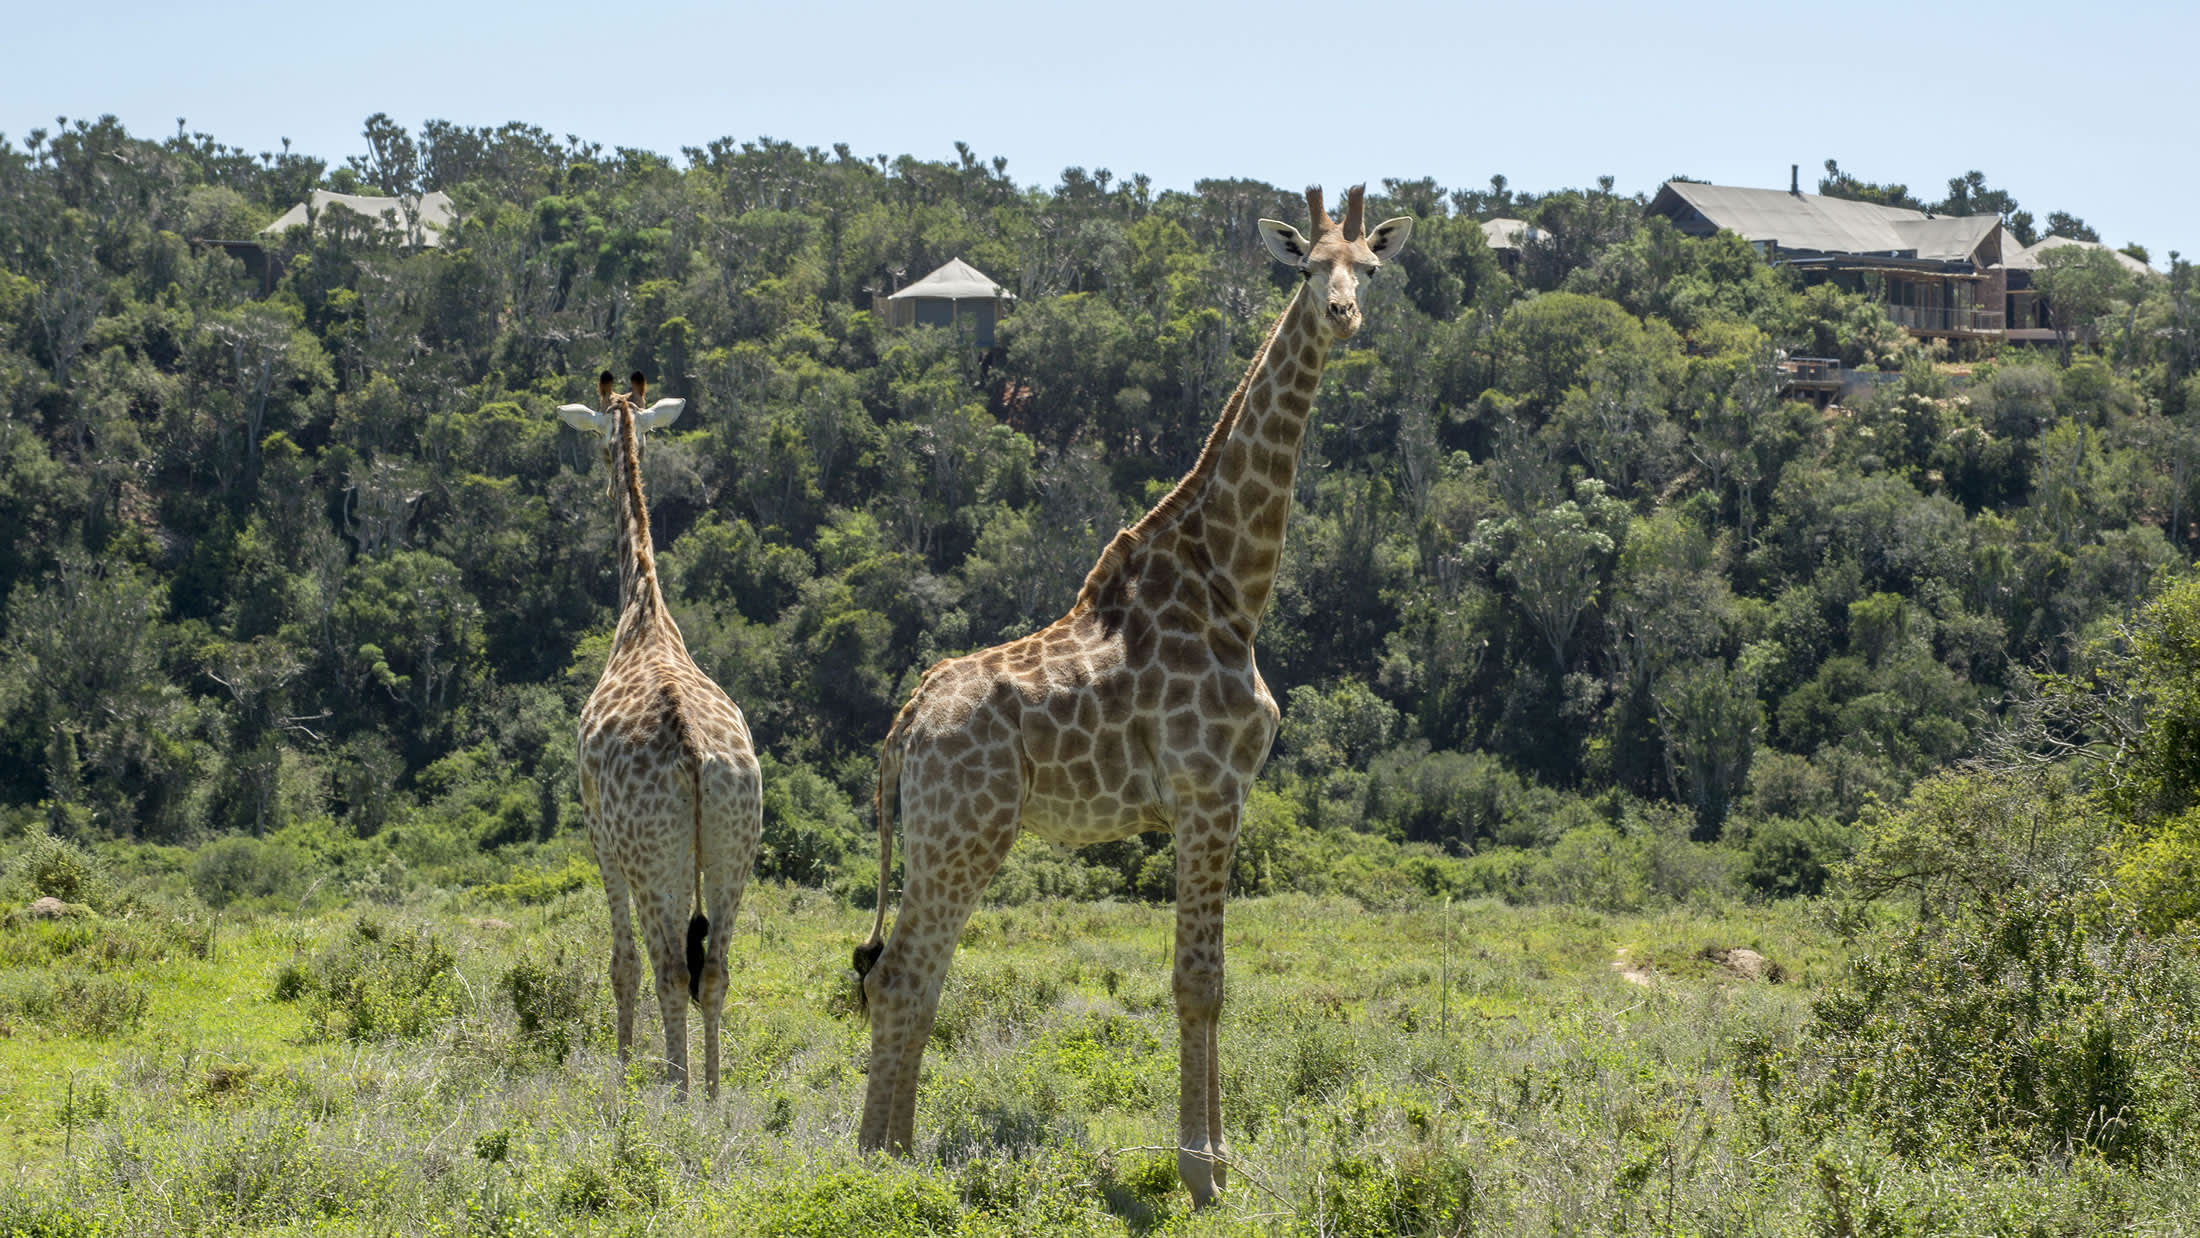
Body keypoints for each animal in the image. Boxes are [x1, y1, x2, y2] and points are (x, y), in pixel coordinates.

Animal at [557, 371, 762, 1101]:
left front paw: (619, 1074)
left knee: (670, 966)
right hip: (734, 846)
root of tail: (696, 758)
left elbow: (621, 962)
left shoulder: (599, 835)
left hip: (653, 857)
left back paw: (674, 1093)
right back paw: (712, 1094)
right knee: (718, 969)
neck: (643, 614)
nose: (599, 463)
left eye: (594, 438)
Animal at [852, 187, 1412, 1204]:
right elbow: (1198, 981)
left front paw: (1223, 1161)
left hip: (939, 836)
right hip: (967, 834)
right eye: (1309, 269)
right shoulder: (1205, 791)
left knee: (911, 974)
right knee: (905, 974)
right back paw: (878, 1170)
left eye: (1371, 268)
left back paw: (900, 1155)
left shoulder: (1226, 799)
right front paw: (1201, 1175)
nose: (1344, 315)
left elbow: (1218, 980)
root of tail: (903, 726)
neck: (1232, 584)